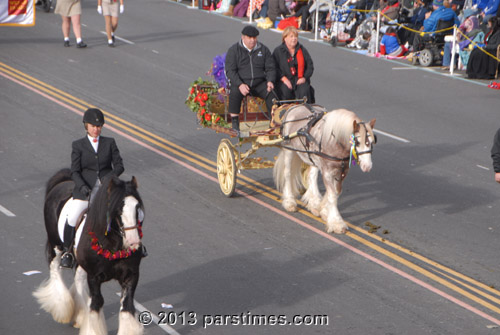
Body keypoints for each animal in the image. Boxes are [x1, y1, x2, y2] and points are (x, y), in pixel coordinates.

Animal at [33, 169, 145, 335]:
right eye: (118, 209)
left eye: (137, 207)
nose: (133, 242)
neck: (113, 245)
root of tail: (63, 182)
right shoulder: (94, 277)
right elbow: (97, 302)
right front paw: (92, 329)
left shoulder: (130, 276)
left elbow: (127, 305)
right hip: (56, 245)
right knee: (55, 269)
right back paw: (62, 307)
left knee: (78, 279)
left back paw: (79, 315)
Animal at [274, 106, 376, 235]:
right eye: (357, 142)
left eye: (372, 142)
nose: (367, 166)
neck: (335, 142)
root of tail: (295, 106)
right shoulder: (327, 172)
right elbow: (332, 195)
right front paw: (336, 222)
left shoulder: (342, 172)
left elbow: (336, 193)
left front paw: (324, 211)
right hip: (289, 149)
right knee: (287, 173)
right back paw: (289, 202)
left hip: (312, 157)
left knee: (311, 176)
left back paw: (314, 203)